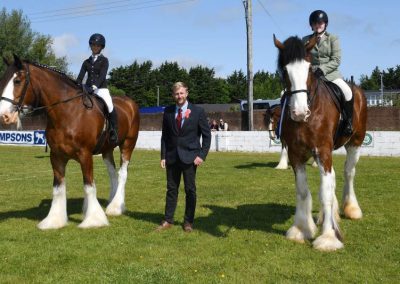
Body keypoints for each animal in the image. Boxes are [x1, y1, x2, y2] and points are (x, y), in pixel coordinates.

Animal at [0, 55, 141, 229]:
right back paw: (110, 202)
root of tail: (130, 102)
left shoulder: (85, 154)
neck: (68, 111)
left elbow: (88, 185)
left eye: (17, 81)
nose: (4, 116)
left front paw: (93, 220)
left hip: (128, 145)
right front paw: (54, 220)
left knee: (122, 173)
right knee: (112, 173)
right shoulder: (57, 156)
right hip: (107, 149)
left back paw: (116, 207)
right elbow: (58, 188)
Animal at [274, 35, 368, 251]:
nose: (300, 112)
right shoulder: (296, 153)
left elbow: (325, 192)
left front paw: (328, 237)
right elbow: (302, 191)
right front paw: (301, 229)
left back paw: (352, 209)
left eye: (309, 69)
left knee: (348, 173)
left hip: (355, 142)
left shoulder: (323, 150)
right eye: (285, 71)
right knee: (332, 178)